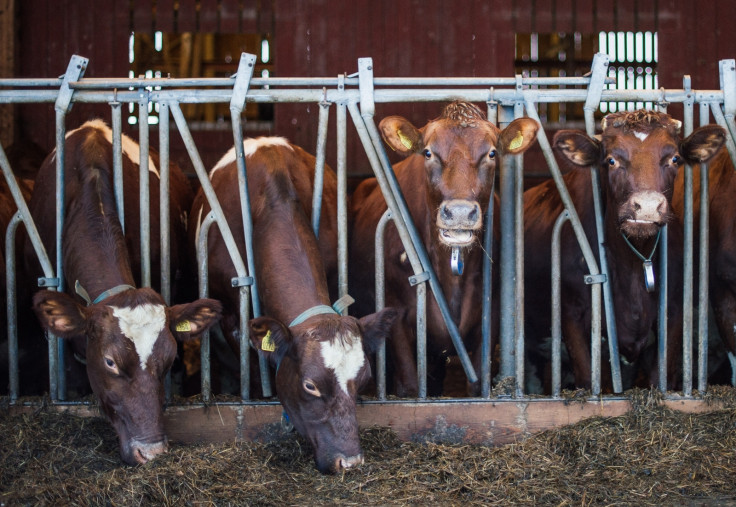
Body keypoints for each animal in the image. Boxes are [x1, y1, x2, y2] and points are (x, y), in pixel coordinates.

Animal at [348, 102, 536, 396]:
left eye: (492, 153)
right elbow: (411, 387)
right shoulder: (396, 316)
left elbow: (478, 385)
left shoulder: (490, 317)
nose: (459, 212)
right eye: (428, 152)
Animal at [524, 109, 724, 390]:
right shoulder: (572, 316)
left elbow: (660, 378)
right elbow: (589, 379)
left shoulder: (673, 312)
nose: (648, 206)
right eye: (611, 160)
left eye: (674, 158)